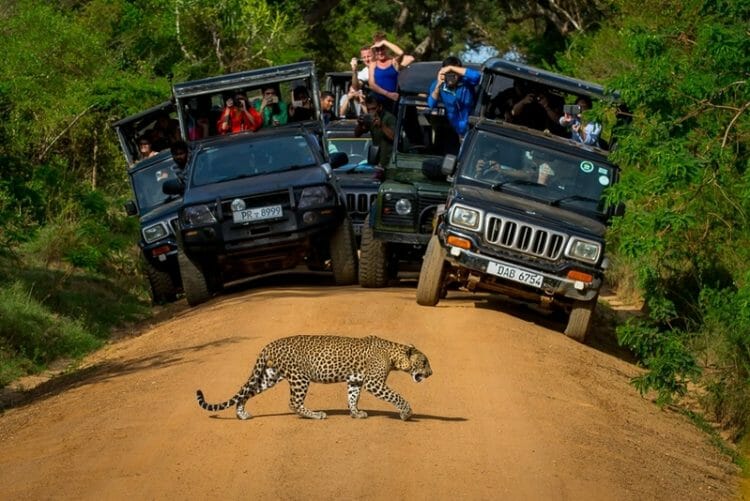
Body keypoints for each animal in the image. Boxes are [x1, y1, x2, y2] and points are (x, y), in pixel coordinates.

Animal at [197, 334, 434, 420]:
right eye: (424, 362)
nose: (431, 373)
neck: (394, 356)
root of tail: (271, 344)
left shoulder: (355, 380)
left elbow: (352, 397)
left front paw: (355, 413)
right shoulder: (374, 383)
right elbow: (397, 396)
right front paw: (406, 413)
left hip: (270, 376)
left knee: (247, 391)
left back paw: (242, 414)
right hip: (300, 378)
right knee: (293, 402)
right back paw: (316, 415)